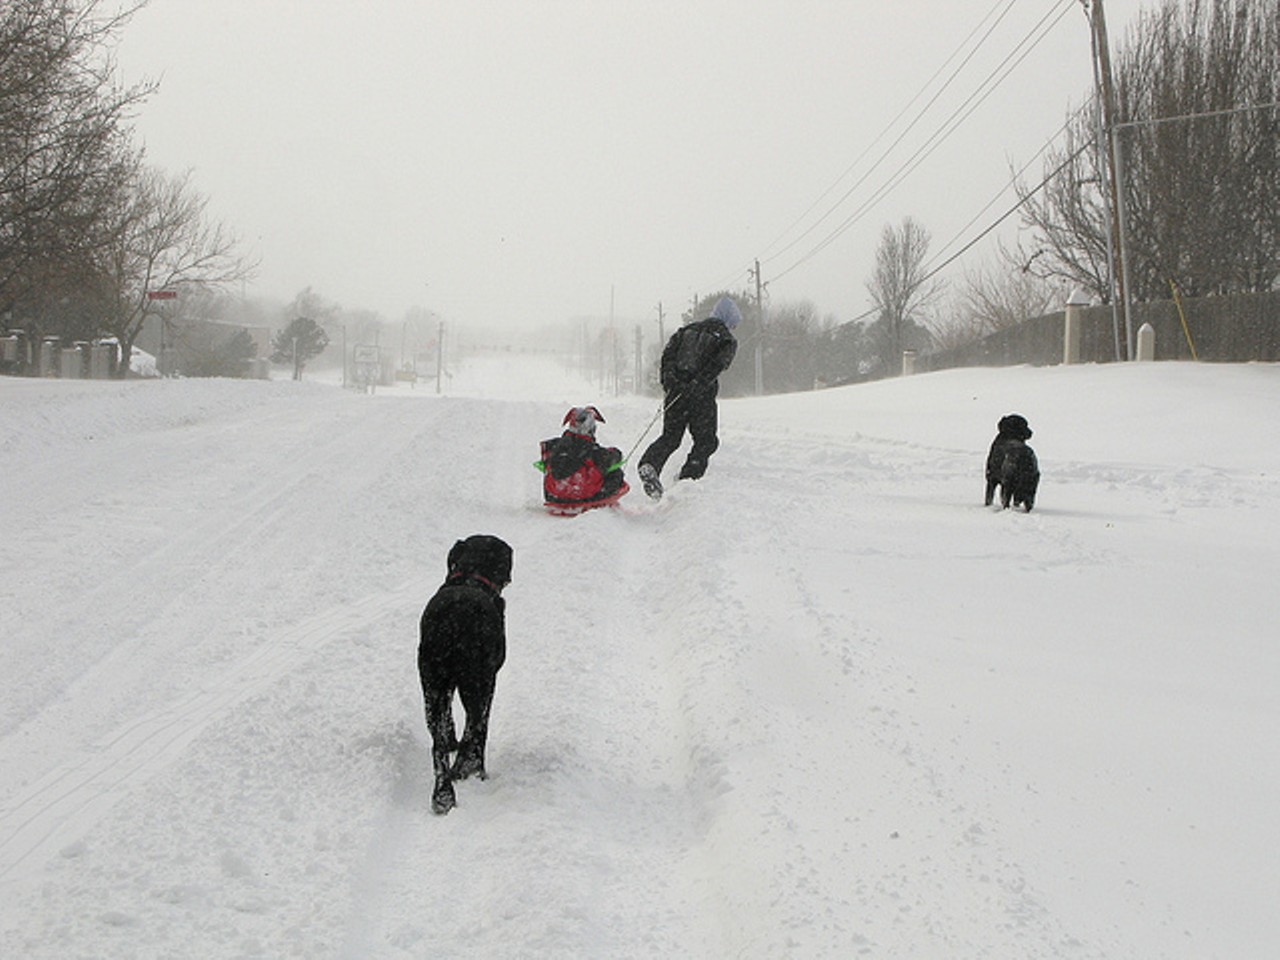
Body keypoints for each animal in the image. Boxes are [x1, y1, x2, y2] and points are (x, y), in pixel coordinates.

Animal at [419, 537, 509, 814]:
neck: (471, 576)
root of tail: (453, 621)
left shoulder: (442, 686)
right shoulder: (490, 680)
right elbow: (480, 730)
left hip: (432, 684)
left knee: (437, 744)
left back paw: (443, 796)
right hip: (475, 683)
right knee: (474, 726)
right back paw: (466, 769)